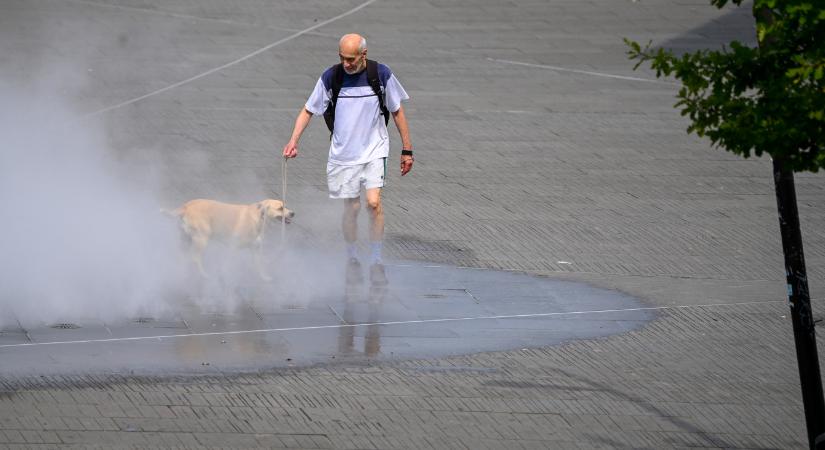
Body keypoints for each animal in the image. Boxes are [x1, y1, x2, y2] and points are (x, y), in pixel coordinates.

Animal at [166, 199, 294, 280]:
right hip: (202, 239)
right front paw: (224, 275)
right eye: (280, 208)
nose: (293, 213)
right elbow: (227, 265)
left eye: (285, 205)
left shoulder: (256, 250)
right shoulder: (233, 247)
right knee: (195, 258)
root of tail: (186, 206)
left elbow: (259, 266)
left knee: (184, 256)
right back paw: (204, 275)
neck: (258, 217)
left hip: (186, 239)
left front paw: (264, 278)